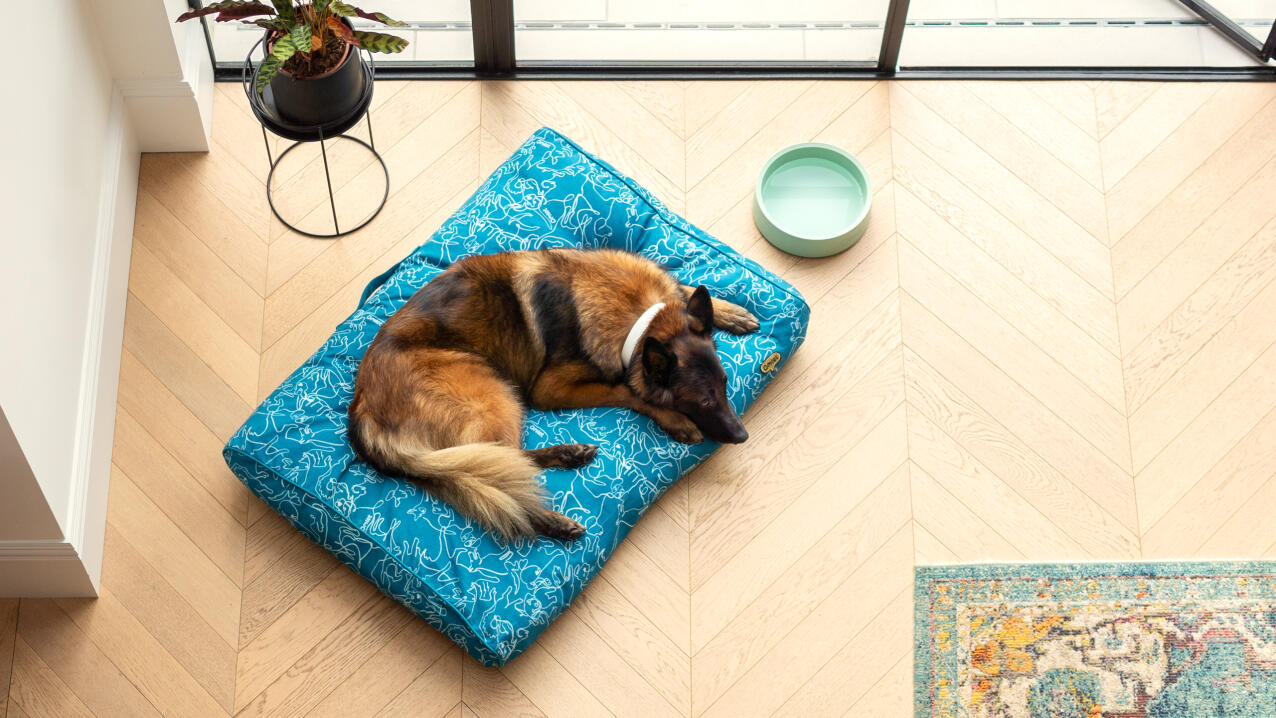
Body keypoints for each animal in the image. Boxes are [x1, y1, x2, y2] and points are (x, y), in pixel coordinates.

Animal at [347, 247, 755, 540]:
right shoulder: (551, 389)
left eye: (725, 384)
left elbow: (686, 288)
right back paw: (552, 519)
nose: (742, 436)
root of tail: (361, 403)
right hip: (495, 392)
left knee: (500, 460)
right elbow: (625, 391)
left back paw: (567, 455)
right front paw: (676, 420)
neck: (643, 320)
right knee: (497, 469)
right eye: (703, 401)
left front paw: (732, 311)